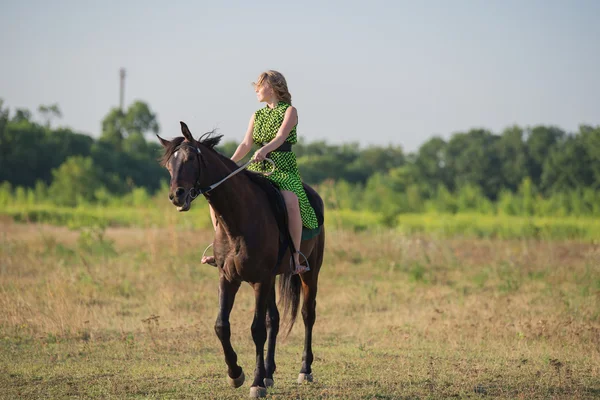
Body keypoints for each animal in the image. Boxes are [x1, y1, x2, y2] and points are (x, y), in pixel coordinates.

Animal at [155, 123, 324, 398]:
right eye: (169, 164)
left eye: (190, 159)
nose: (176, 196)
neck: (239, 219)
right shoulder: (228, 278)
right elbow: (222, 326)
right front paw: (236, 374)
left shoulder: (260, 281)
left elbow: (256, 330)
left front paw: (255, 383)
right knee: (274, 320)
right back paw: (269, 373)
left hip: (309, 272)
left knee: (307, 314)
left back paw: (304, 370)